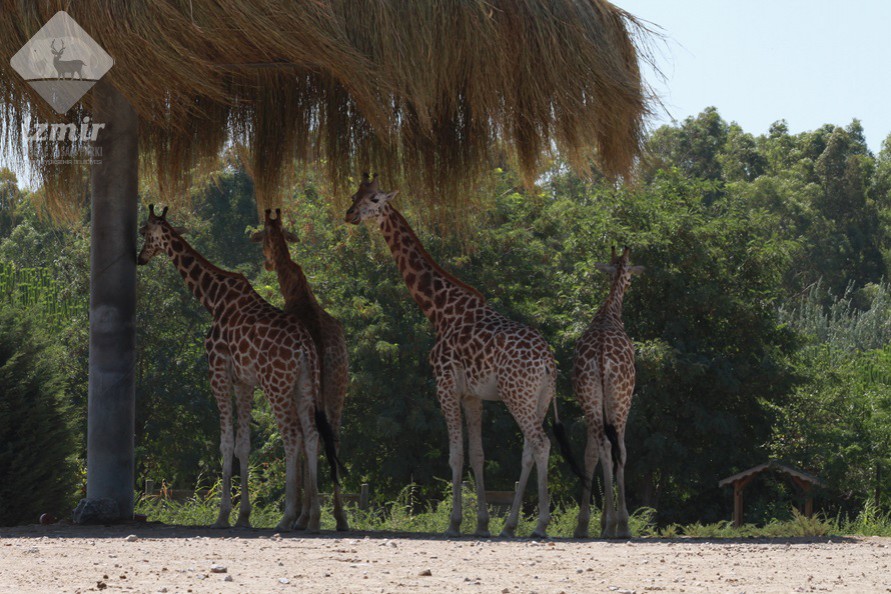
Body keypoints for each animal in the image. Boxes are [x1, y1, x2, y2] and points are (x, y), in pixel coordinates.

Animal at [141, 205, 330, 532]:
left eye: (144, 232)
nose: (139, 257)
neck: (213, 298)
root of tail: (305, 347)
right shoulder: (245, 381)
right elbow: (243, 445)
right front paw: (243, 516)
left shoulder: (218, 372)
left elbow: (226, 443)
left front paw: (222, 515)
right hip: (304, 384)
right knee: (311, 435)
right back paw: (314, 519)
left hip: (276, 385)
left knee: (291, 436)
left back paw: (287, 517)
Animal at [251, 209, 352, 532]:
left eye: (261, 237)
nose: (267, 262)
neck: (295, 290)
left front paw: (300, 514)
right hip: (337, 386)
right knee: (333, 437)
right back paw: (341, 518)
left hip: (309, 389)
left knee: (312, 437)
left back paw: (307, 517)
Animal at [344, 172, 560, 536]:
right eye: (353, 195)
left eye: (374, 200)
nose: (350, 215)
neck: (439, 310)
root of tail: (546, 363)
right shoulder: (472, 395)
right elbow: (477, 454)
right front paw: (483, 524)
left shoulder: (445, 385)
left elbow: (455, 455)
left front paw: (454, 523)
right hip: (539, 398)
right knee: (530, 450)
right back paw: (509, 526)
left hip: (517, 394)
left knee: (541, 444)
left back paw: (540, 526)